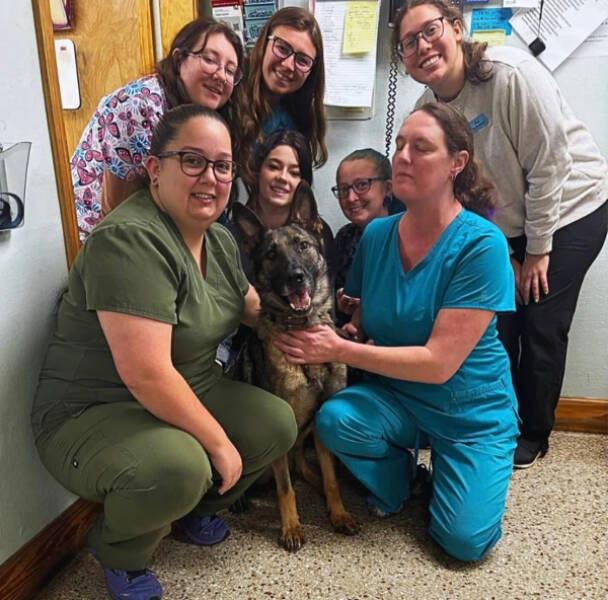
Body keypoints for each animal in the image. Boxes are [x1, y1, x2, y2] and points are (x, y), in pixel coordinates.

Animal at [232, 184, 356, 552]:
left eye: (303, 246)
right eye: (271, 254)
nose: (296, 277)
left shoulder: (321, 421)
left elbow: (330, 478)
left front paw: (338, 512)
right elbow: (285, 488)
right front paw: (291, 527)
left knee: (302, 464)